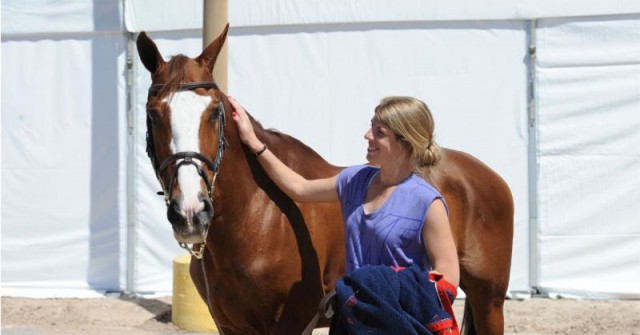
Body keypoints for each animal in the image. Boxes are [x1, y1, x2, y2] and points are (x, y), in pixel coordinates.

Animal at [136, 22, 516, 334]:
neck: (256, 214)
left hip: (488, 299)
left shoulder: (292, 321)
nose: (190, 212)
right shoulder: (231, 325)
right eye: (153, 115)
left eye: (215, 112)